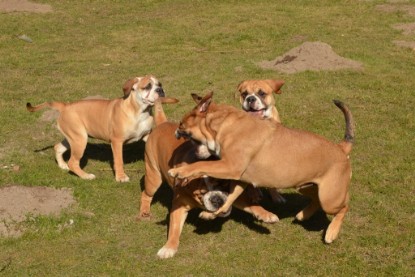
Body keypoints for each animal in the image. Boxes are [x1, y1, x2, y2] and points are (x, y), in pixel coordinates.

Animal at [26, 75, 176, 181]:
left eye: (159, 84)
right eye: (147, 86)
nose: (160, 90)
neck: (139, 111)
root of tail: (65, 106)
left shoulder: (146, 135)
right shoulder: (117, 141)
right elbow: (119, 161)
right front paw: (121, 177)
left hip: (74, 137)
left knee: (58, 147)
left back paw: (63, 165)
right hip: (80, 140)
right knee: (73, 162)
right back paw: (85, 176)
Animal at [139, 94, 280, 258]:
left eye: (222, 183)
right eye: (200, 194)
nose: (216, 199)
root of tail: (162, 123)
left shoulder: (231, 193)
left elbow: (252, 205)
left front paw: (266, 215)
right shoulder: (178, 207)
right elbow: (174, 229)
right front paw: (168, 247)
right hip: (153, 177)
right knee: (146, 194)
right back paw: (144, 211)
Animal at [168, 91, 354, 243]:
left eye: (181, 124)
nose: (176, 131)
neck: (222, 125)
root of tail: (341, 148)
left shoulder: (229, 167)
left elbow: (201, 164)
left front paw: (179, 171)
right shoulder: (240, 178)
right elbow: (230, 197)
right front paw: (212, 213)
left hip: (330, 198)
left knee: (344, 206)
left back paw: (332, 232)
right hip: (306, 186)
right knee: (316, 199)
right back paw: (304, 214)